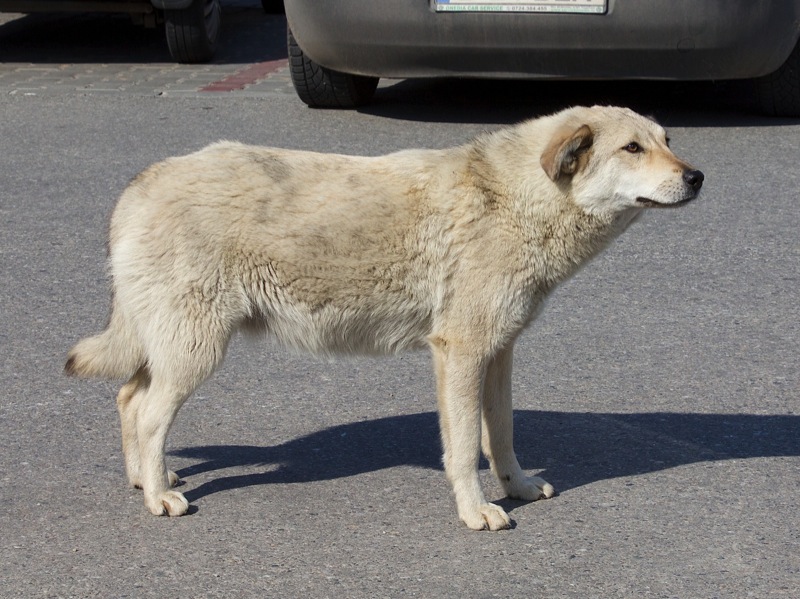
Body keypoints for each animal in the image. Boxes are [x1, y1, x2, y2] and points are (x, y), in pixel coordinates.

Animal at [66, 106, 703, 530]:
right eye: (632, 149)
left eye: (667, 140)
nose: (697, 177)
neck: (515, 198)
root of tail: (140, 182)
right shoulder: (461, 354)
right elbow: (464, 447)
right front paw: (475, 510)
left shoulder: (498, 354)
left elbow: (501, 436)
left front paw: (516, 487)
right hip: (195, 352)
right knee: (149, 414)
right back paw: (157, 497)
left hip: (172, 346)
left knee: (129, 398)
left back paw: (145, 479)